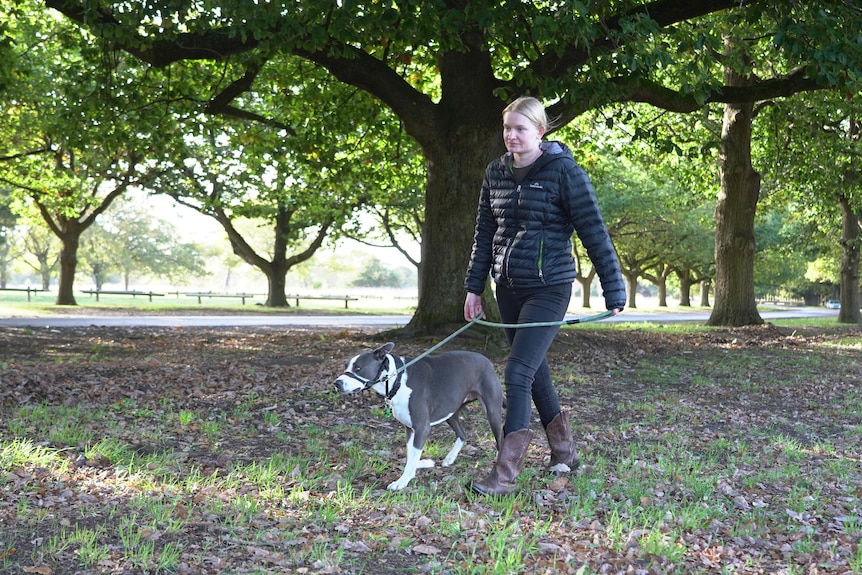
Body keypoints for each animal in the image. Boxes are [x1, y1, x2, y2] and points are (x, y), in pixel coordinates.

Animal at [332, 342, 506, 490]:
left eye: (358, 368)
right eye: (346, 366)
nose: (337, 383)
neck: (397, 378)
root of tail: (488, 361)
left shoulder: (422, 428)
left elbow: (413, 457)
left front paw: (402, 481)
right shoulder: (410, 428)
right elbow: (411, 455)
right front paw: (417, 468)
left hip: (492, 412)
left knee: (500, 439)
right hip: (450, 412)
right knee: (463, 434)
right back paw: (450, 458)